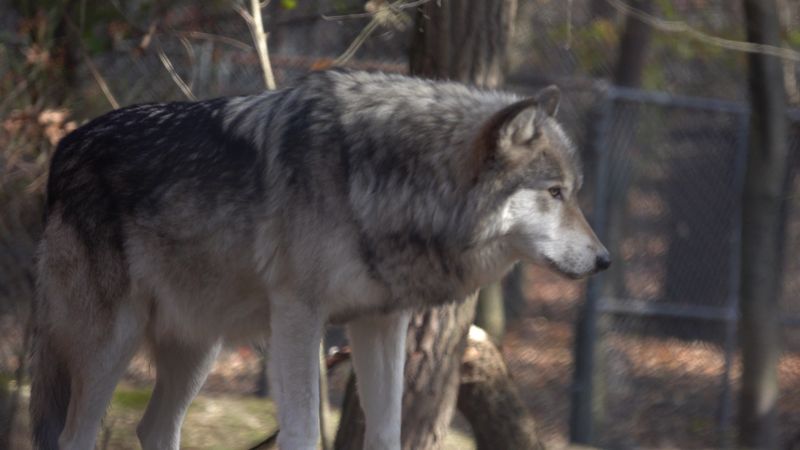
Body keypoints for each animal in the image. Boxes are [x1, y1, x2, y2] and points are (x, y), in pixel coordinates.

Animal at [30, 69, 609, 450]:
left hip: (198, 348)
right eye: (555, 192)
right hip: (113, 342)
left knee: (154, 428)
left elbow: (387, 430)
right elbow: (304, 431)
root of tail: (62, 150)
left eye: (576, 192)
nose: (604, 260)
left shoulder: (381, 321)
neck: (391, 179)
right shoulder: (298, 316)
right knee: (75, 435)